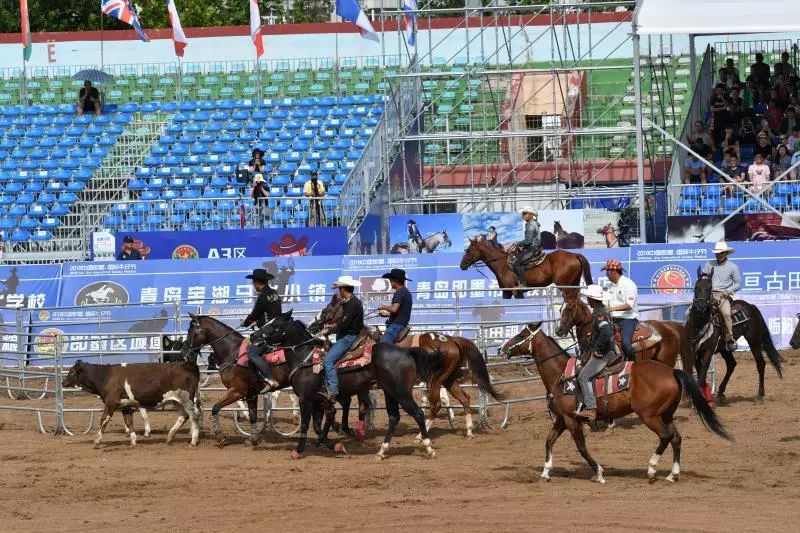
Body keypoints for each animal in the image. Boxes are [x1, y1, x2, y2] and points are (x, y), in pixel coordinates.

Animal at [253, 312, 444, 458]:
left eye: (274, 325)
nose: (254, 336)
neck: (306, 359)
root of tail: (407, 352)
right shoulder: (318, 401)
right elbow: (317, 427)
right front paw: (335, 445)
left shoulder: (306, 399)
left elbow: (307, 425)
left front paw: (298, 451)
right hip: (390, 392)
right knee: (393, 418)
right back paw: (382, 451)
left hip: (401, 392)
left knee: (418, 413)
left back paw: (428, 447)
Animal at [316, 296, 504, 436]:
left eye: (325, 310)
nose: (314, 326)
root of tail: (451, 339)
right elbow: (364, 406)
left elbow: (362, 405)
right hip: (448, 379)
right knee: (464, 398)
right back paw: (469, 430)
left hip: (435, 380)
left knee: (436, 404)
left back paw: (422, 434)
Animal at [456, 234, 592, 298]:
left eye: (468, 250)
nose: (462, 265)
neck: (503, 265)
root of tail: (575, 254)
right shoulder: (506, 293)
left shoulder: (516, 292)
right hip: (573, 283)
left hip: (565, 286)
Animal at [500, 324, 732, 482]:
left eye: (521, 335)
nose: (502, 349)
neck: (561, 374)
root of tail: (672, 371)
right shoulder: (562, 418)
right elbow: (549, 441)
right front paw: (546, 472)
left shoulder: (571, 419)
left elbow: (581, 447)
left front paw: (599, 473)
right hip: (665, 414)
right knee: (676, 438)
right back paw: (672, 474)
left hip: (649, 415)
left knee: (666, 436)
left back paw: (651, 469)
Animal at [688, 268, 780, 402]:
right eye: (696, 287)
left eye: (709, 288)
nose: (700, 307)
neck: (700, 325)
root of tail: (751, 306)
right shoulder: (695, 352)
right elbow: (701, 376)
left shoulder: (708, 352)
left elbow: (702, 377)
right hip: (724, 348)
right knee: (732, 364)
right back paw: (720, 393)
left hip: (754, 341)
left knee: (760, 363)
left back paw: (760, 394)